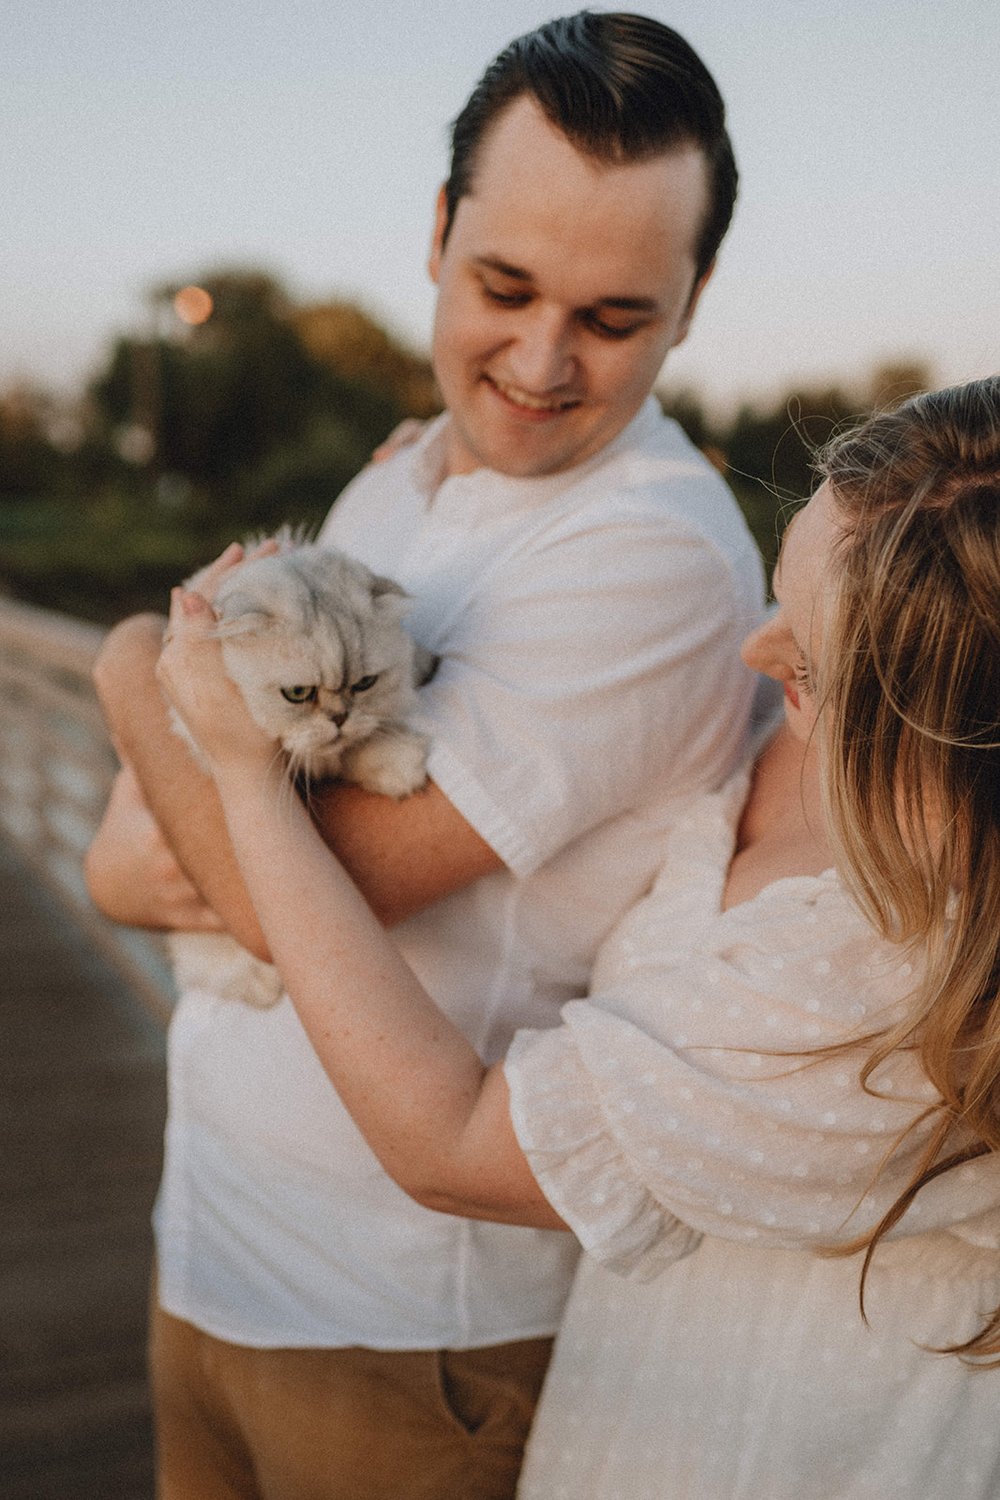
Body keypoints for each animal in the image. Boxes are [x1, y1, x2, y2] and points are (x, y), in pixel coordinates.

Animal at [169, 540, 434, 1008]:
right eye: (297, 694)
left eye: (363, 684)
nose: (339, 718)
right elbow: (334, 751)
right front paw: (396, 762)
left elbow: (360, 741)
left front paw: (394, 760)